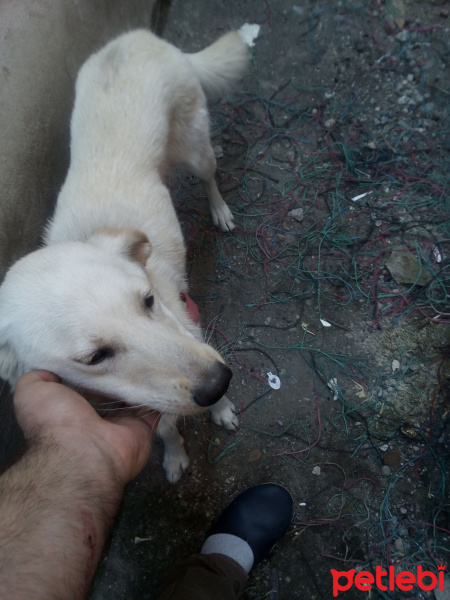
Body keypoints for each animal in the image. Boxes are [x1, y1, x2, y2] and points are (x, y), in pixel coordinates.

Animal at [0, 30, 250, 486]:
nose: (218, 383)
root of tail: (138, 36)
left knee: (209, 176)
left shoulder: (191, 324)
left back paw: (220, 210)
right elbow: (165, 428)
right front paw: (175, 453)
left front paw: (221, 410)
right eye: (94, 358)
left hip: (195, 147)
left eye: (148, 300)